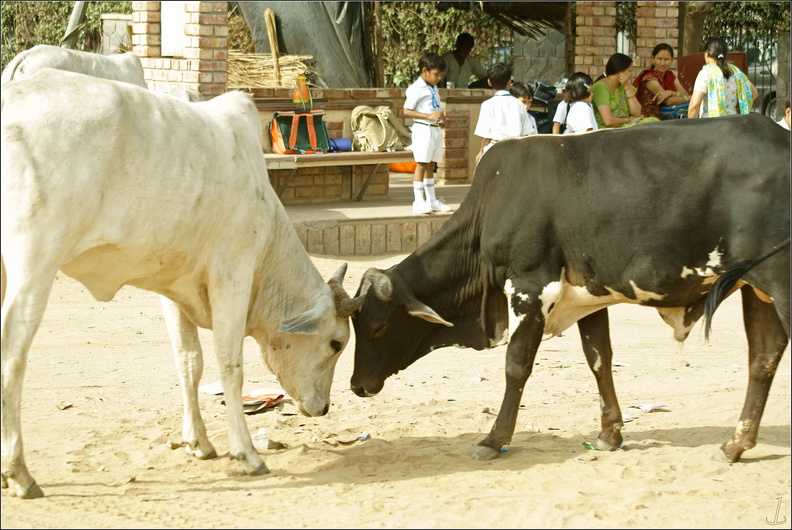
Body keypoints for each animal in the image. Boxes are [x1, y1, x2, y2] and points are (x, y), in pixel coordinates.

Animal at [0, 69, 366, 496]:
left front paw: (199, 442)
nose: (322, 408)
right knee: (12, 357)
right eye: (336, 343)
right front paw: (246, 454)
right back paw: (19, 473)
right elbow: (230, 364)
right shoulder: (232, 275)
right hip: (34, 265)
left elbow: (189, 361)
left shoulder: (174, 289)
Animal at [354, 113, 792, 460]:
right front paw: (610, 433)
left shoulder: (532, 287)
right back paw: (734, 445)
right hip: (758, 288)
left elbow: (516, 365)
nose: (357, 386)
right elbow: (599, 358)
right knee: (764, 357)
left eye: (379, 326)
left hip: (780, 283)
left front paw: (494, 439)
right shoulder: (589, 296)